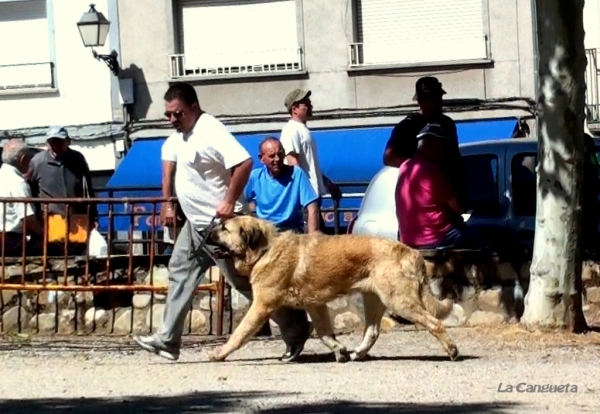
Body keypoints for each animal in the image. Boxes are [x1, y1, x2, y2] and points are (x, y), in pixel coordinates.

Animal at [206, 215, 460, 364]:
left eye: (224, 228)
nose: (207, 231)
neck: (264, 250)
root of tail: (413, 253)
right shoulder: (315, 305)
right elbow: (324, 332)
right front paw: (340, 351)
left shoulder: (262, 306)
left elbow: (239, 333)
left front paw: (219, 353)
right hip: (374, 299)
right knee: (372, 331)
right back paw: (358, 353)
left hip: (399, 301)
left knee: (435, 323)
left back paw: (452, 350)